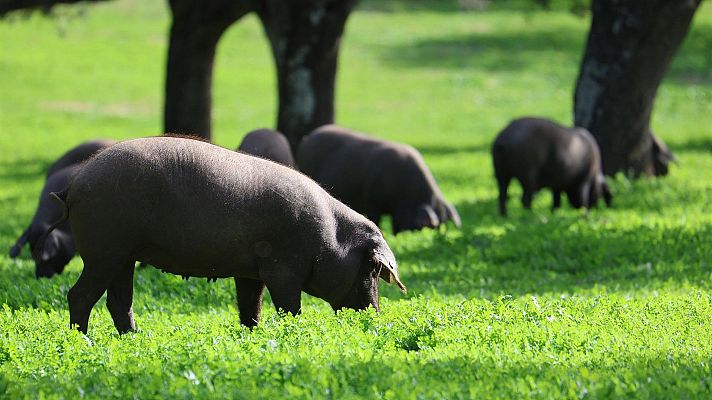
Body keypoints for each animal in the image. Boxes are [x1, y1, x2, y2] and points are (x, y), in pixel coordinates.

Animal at [294, 125, 462, 234]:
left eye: (443, 224)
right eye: (429, 227)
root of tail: (307, 139)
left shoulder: (396, 212)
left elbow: (396, 226)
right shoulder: (373, 201)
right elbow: (376, 219)